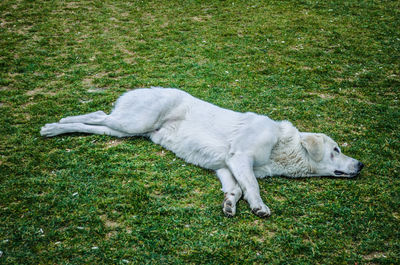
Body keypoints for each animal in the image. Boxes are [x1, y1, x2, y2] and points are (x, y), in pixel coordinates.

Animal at [40, 86, 362, 217]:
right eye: (336, 149)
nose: (360, 165)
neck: (283, 147)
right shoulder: (239, 157)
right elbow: (253, 187)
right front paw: (259, 207)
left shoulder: (226, 166)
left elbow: (238, 188)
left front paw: (230, 204)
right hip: (133, 121)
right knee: (96, 115)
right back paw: (53, 126)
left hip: (123, 131)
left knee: (95, 121)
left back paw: (57, 128)